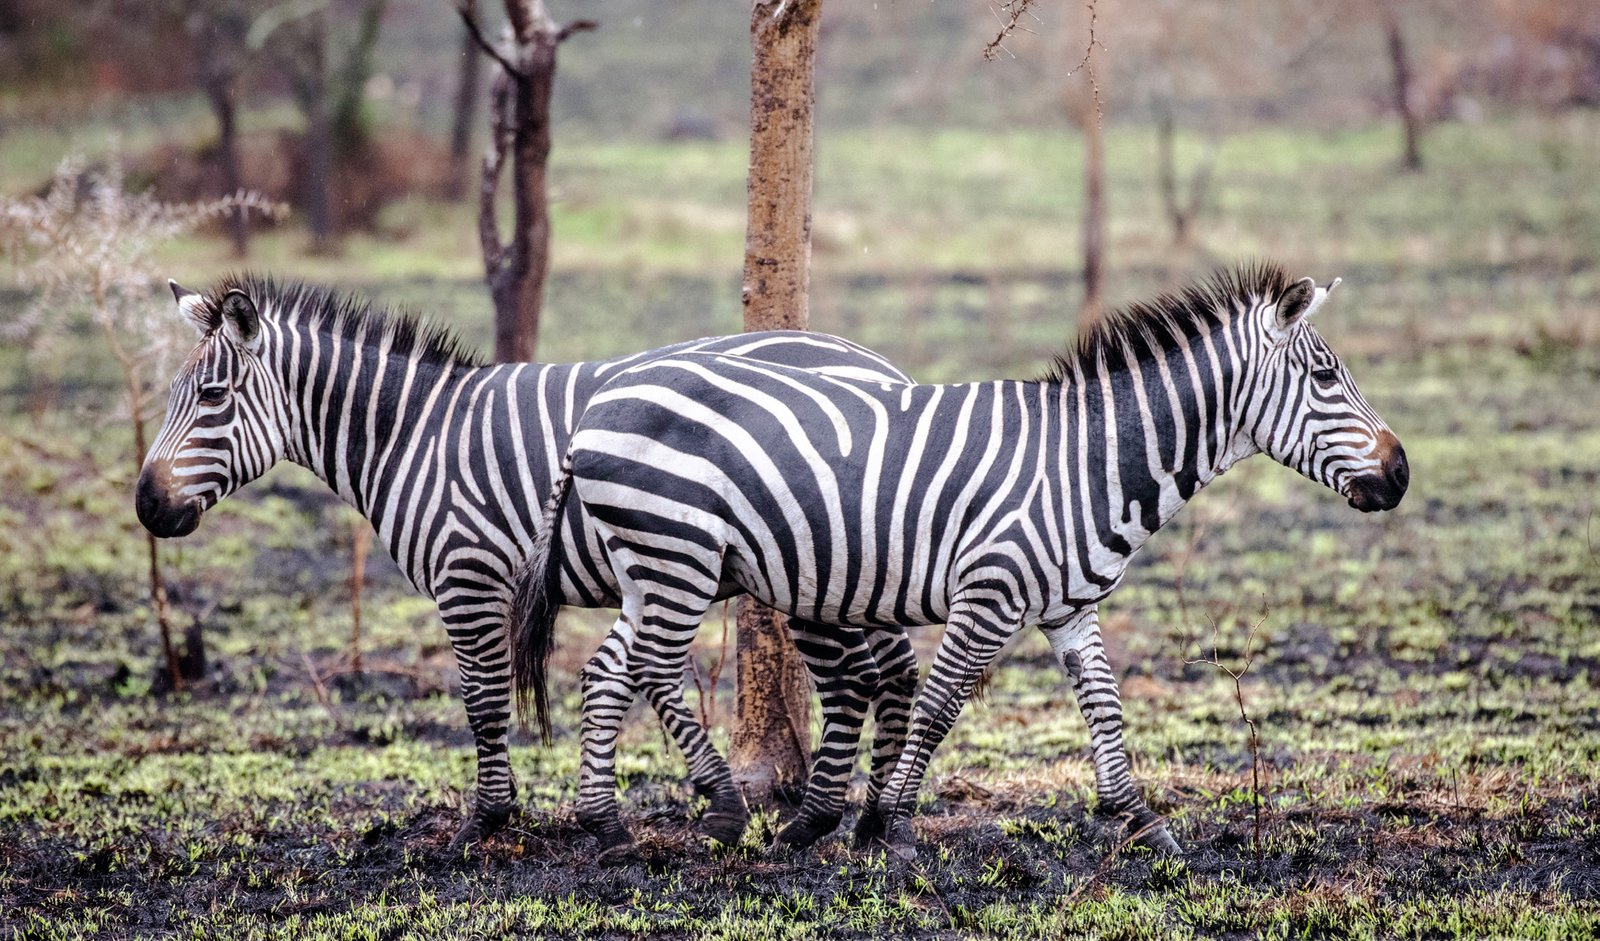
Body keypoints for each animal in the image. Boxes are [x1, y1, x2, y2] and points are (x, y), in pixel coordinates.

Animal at [134, 274, 921, 852]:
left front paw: (485, 821)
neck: (416, 437)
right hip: (861, 565)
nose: (146, 507)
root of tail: (881, 364)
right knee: (894, 671)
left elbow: (482, 704)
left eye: (212, 397)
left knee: (858, 677)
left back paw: (847, 818)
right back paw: (874, 819)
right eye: (171, 396)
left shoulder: (469, 578)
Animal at [512, 263, 1410, 858]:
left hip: (653, 564)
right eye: (1325, 376)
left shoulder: (1069, 606)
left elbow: (1105, 704)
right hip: (679, 555)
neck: (1084, 461)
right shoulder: (992, 592)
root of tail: (596, 405)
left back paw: (607, 827)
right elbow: (942, 704)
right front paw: (893, 824)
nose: (1401, 473)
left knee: (607, 671)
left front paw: (1140, 818)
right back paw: (724, 811)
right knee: (654, 668)